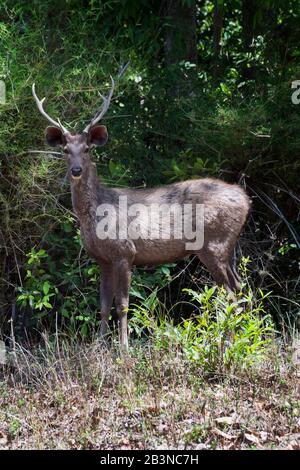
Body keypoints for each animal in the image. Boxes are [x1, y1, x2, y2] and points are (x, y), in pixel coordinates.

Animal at [32, 74, 251, 348]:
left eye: (87, 149)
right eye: (64, 151)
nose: (76, 170)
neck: (95, 215)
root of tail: (245, 199)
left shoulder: (125, 251)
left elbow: (123, 305)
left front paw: (124, 347)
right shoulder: (102, 259)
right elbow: (103, 304)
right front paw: (99, 344)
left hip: (214, 244)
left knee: (230, 293)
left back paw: (228, 343)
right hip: (227, 246)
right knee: (240, 287)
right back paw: (244, 338)